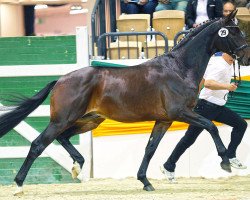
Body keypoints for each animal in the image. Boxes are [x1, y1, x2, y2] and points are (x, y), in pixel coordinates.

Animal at [0, 10, 249, 195]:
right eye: (234, 31)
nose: (246, 57)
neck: (179, 69)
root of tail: (60, 79)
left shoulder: (164, 120)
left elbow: (150, 148)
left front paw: (145, 181)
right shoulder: (181, 112)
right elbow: (211, 126)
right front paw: (225, 161)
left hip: (89, 120)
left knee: (63, 138)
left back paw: (77, 166)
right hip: (62, 119)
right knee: (38, 144)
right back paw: (19, 185)